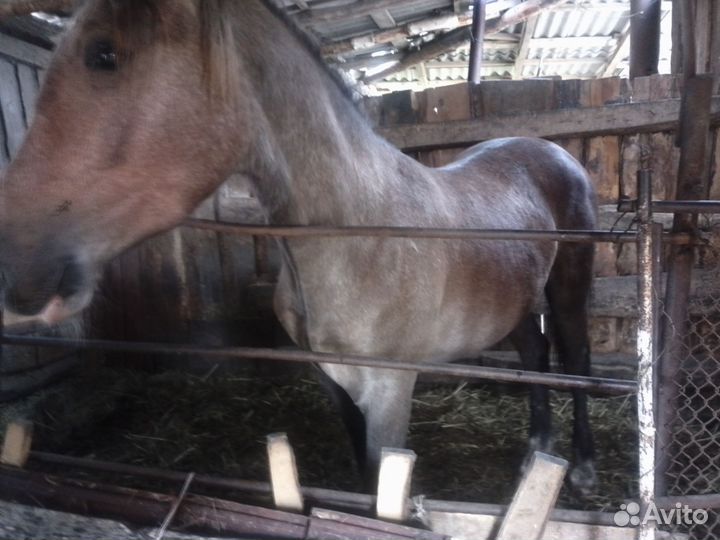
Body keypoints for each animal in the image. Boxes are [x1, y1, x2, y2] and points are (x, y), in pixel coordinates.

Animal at [0, 0, 598, 493]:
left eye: (104, 54)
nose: (13, 267)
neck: (357, 238)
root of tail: (549, 151)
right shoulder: (333, 382)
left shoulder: (390, 391)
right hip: (513, 303)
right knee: (534, 352)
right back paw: (536, 450)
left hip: (569, 289)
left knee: (574, 357)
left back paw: (582, 467)